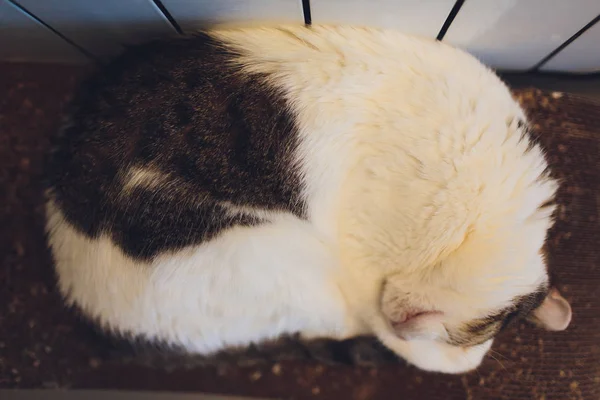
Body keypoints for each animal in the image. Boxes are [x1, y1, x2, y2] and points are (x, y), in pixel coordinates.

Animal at [45, 25, 572, 376]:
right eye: (472, 331)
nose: (405, 323)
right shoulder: (365, 268)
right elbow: (432, 355)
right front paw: (453, 356)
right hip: (291, 263)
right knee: (325, 327)